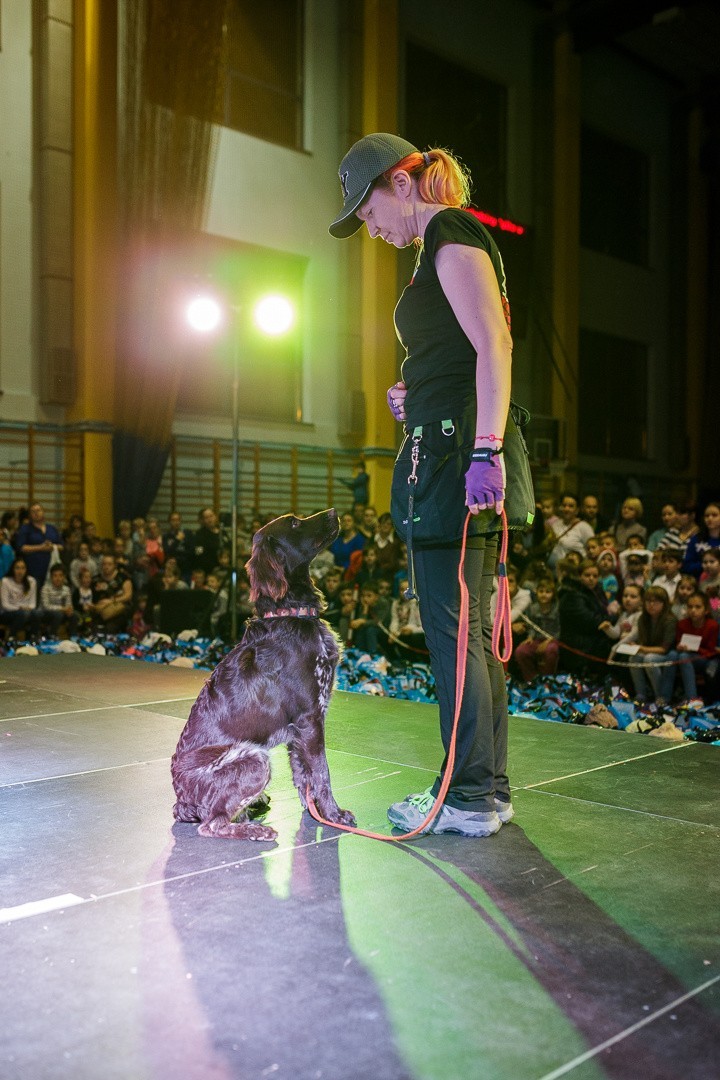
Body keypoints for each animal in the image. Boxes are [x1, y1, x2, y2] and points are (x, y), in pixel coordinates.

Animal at [171, 509, 358, 838]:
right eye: (295, 523)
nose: (335, 512)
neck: (291, 614)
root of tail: (181, 801)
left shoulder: (299, 730)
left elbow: (304, 778)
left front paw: (316, 814)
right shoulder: (310, 719)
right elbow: (322, 774)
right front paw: (334, 815)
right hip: (255, 759)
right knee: (212, 825)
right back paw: (256, 831)